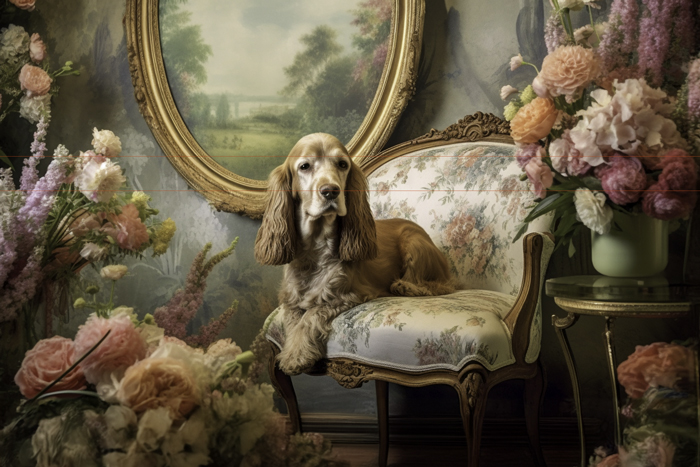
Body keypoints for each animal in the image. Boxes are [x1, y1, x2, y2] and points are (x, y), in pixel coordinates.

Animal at [254, 133, 456, 376]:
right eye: (304, 166)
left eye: (342, 164)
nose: (330, 191)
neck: (316, 250)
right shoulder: (290, 301)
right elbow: (293, 321)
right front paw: (292, 347)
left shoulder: (346, 294)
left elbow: (311, 316)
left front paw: (296, 355)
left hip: (413, 242)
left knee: (439, 285)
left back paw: (405, 286)